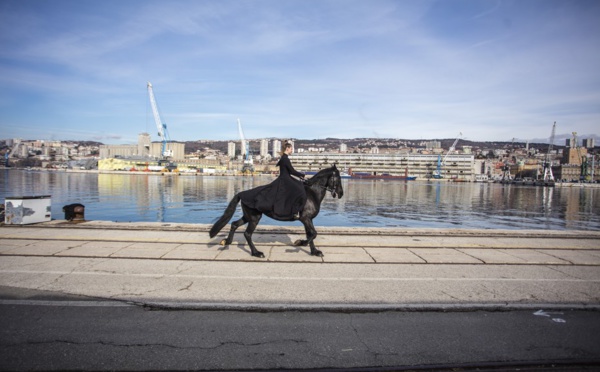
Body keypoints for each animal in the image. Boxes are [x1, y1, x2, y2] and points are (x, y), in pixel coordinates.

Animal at [210, 164, 342, 258]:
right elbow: (313, 234)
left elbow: (311, 234)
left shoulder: (308, 219)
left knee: (234, 224)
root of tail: (242, 193)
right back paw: (256, 253)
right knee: (247, 234)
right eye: (338, 179)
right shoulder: (305, 218)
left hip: (248, 216)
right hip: (254, 218)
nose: (341, 194)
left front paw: (314, 251)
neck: (312, 193)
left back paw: (227, 241)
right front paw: (300, 242)